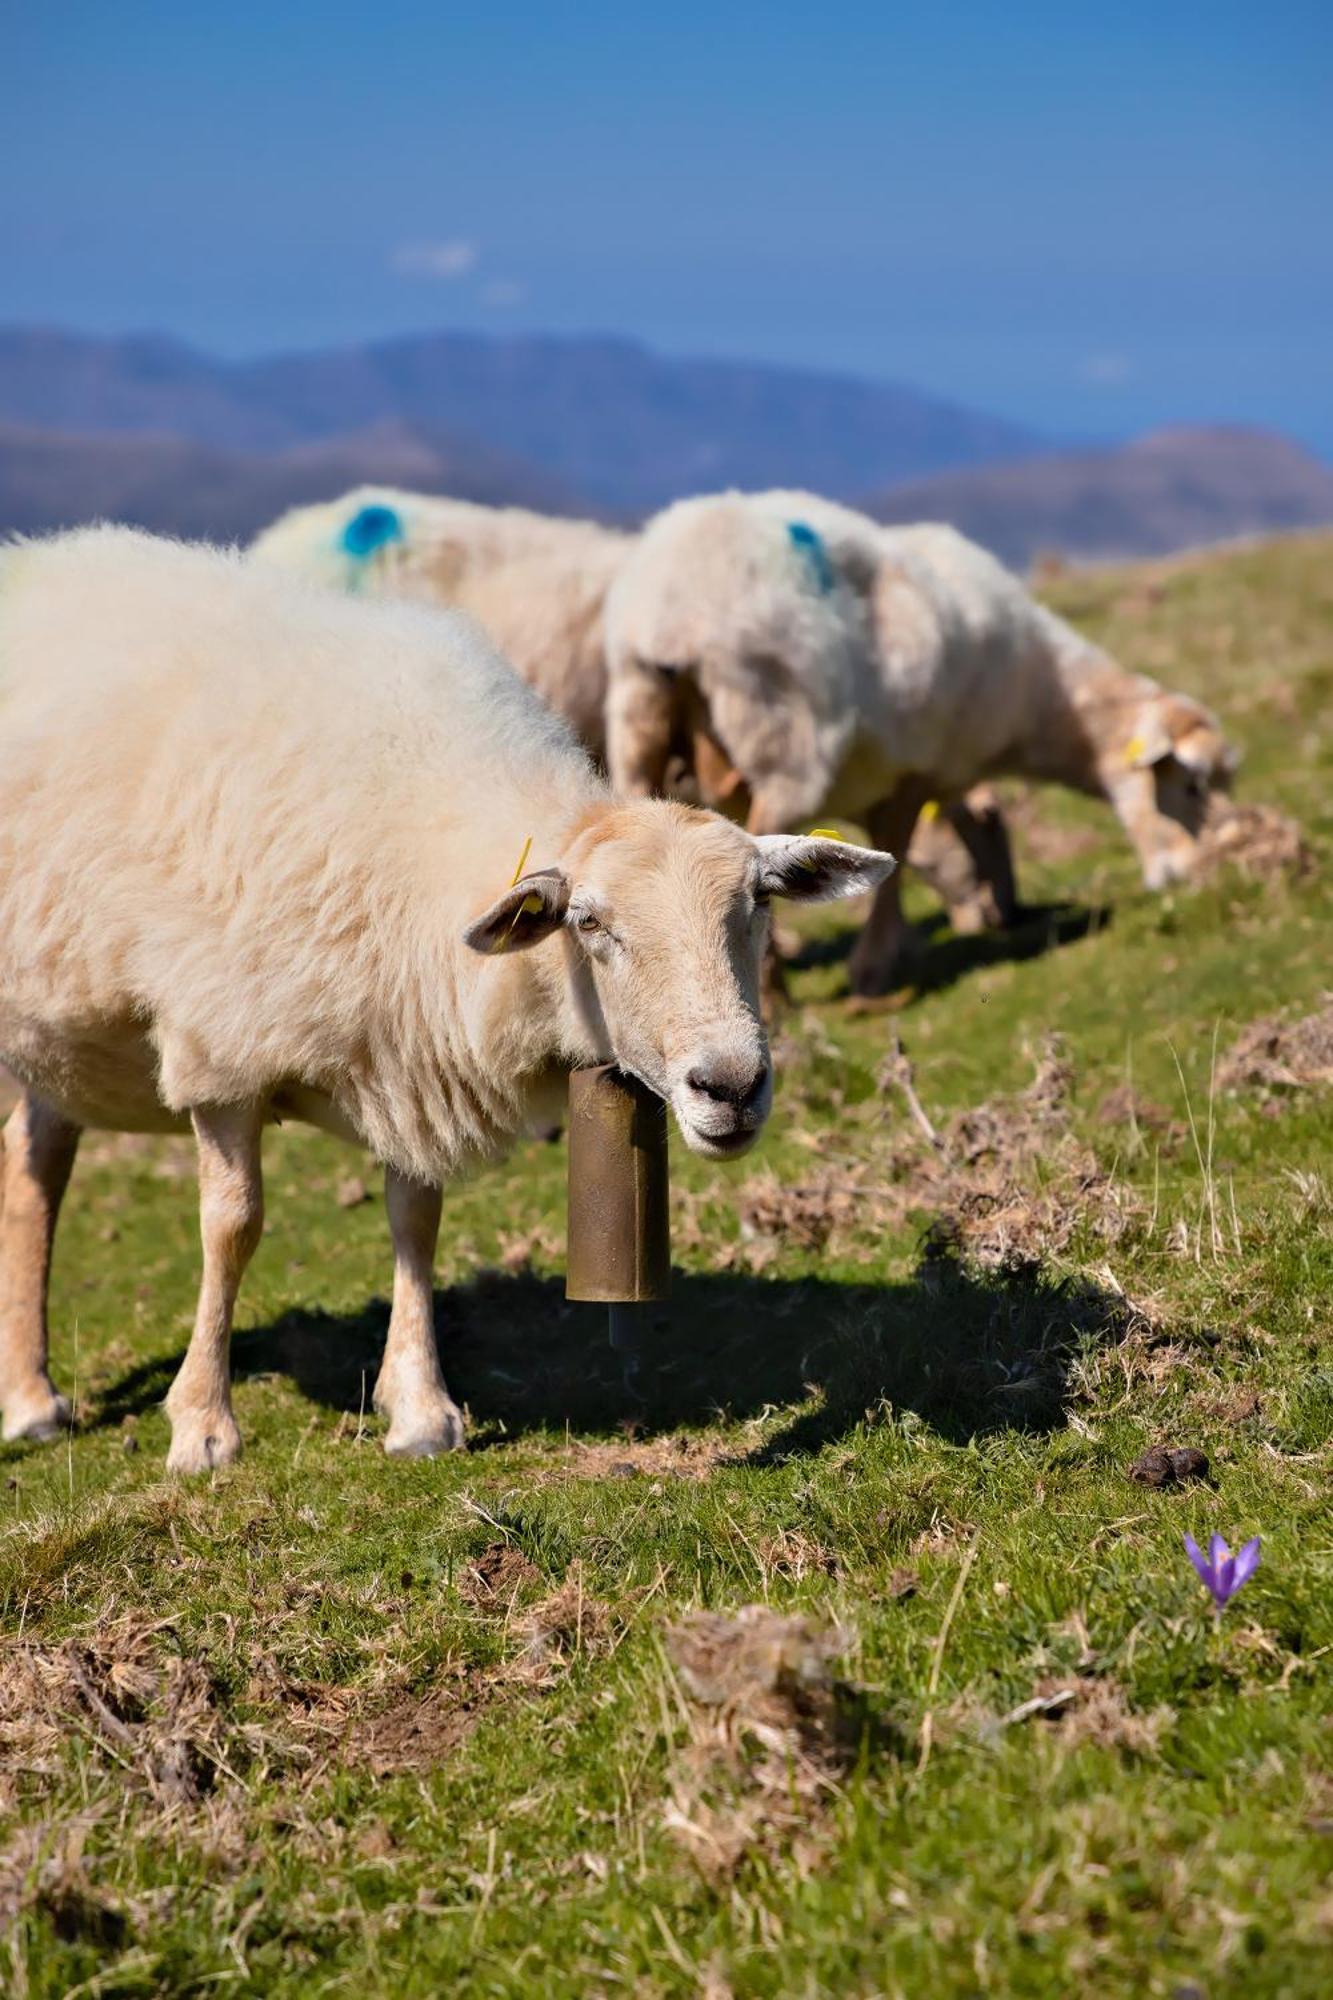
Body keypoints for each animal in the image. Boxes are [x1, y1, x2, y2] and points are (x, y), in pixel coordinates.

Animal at [0, 532, 892, 1472]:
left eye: (758, 903)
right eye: (588, 922)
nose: (730, 1086)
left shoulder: (410, 1049)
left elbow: (415, 1219)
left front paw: (420, 1408)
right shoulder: (221, 1050)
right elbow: (232, 1227)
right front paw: (204, 1425)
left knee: (33, 1163)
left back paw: (32, 1396)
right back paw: (32, 1402)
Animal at [596, 492, 1232, 992]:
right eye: (1193, 784)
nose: (1203, 872)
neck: (1040, 691)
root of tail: (670, 614)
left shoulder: (902, 774)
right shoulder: (915, 770)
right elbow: (894, 853)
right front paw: (876, 966)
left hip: (636, 721)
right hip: (783, 745)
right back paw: (772, 992)